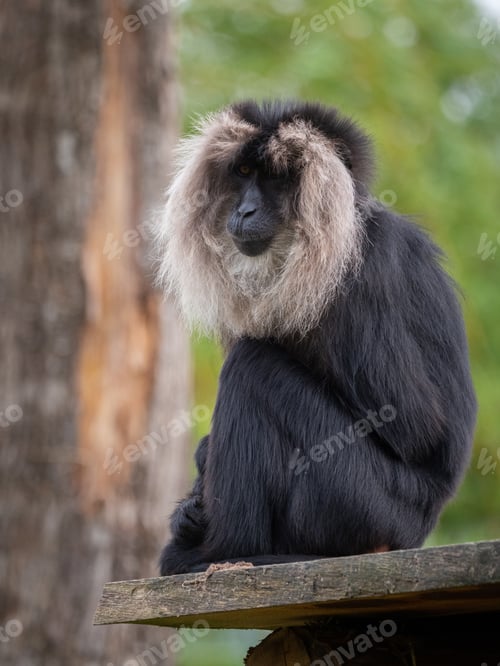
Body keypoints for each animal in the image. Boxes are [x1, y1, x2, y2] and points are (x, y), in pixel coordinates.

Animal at [154, 99, 477, 575]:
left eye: (275, 178)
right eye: (244, 172)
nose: (243, 212)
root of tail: (414, 531)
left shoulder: (363, 272)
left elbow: (417, 427)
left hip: (359, 499)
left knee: (253, 365)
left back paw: (220, 553)